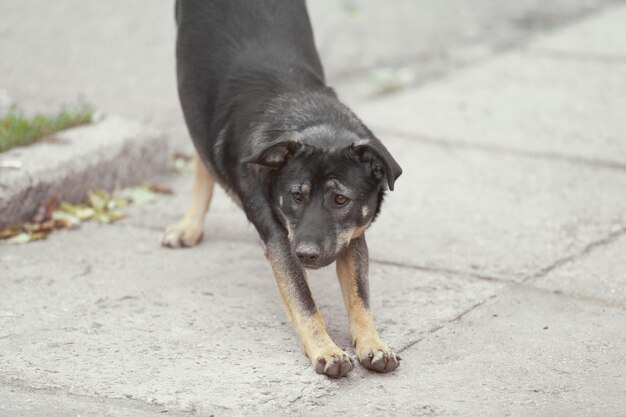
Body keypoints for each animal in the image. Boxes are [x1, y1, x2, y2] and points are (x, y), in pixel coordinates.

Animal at [161, 0, 402, 376]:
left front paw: (372, 343)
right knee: (201, 152)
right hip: (190, 91)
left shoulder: (351, 238)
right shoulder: (280, 241)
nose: (306, 254)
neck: (306, 115)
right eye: (296, 196)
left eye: (340, 199)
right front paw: (326, 350)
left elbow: (360, 298)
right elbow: (303, 301)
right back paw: (190, 225)